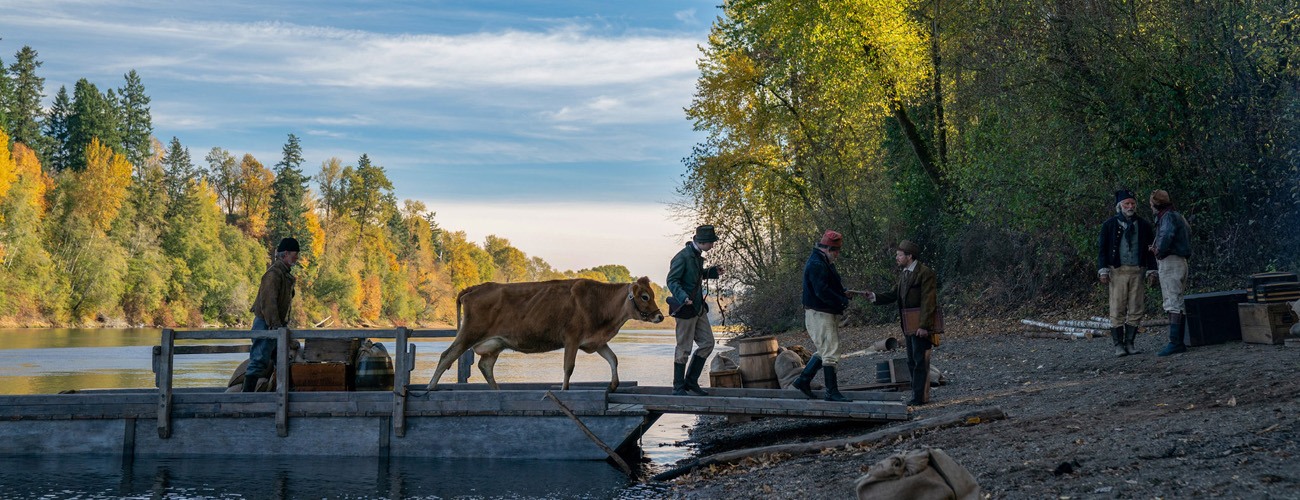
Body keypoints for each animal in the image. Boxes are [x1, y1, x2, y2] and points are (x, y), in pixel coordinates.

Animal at [427, 276, 665, 392]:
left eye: (651, 295)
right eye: (644, 296)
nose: (660, 316)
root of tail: (475, 287)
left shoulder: (595, 341)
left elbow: (613, 359)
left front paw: (614, 385)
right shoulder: (572, 338)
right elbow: (569, 367)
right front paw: (564, 389)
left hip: (494, 344)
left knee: (485, 366)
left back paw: (497, 391)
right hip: (469, 332)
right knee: (447, 355)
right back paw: (430, 387)